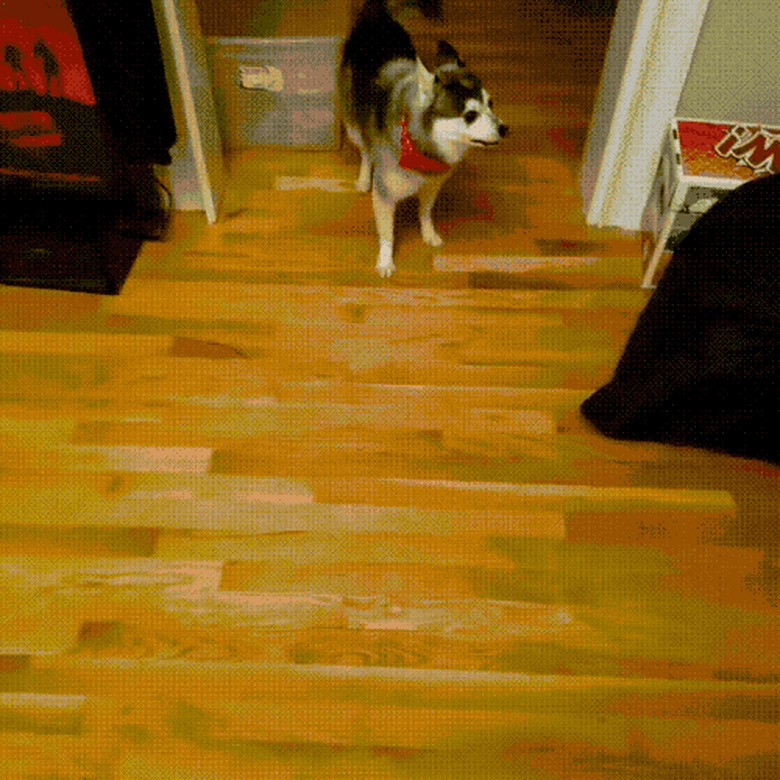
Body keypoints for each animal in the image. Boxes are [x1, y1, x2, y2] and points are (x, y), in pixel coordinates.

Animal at [340, 0, 508, 278]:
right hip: (353, 121)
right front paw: (385, 260)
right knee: (364, 148)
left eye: (490, 103)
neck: (421, 144)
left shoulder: (432, 185)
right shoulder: (384, 196)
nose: (505, 128)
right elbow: (387, 234)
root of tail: (376, 14)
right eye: (470, 115)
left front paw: (428, 233)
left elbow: (426, 212)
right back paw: (364, 177)